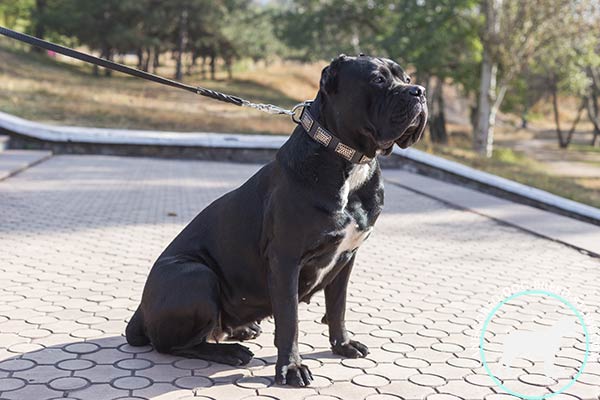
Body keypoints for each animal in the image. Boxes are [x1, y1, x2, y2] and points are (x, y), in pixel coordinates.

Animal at [126, 54, 426, 386]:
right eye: (377, 79)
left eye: (406, 78)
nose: (419, 91)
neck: (350, 160)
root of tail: (140, 314)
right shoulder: (285, 259)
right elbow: (290, 319)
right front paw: (292, 367)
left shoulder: (347, 257)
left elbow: (338, 306)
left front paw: (343, 344)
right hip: (195, 274)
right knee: (172, 344)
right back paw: (230, 352)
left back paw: (243, 329)